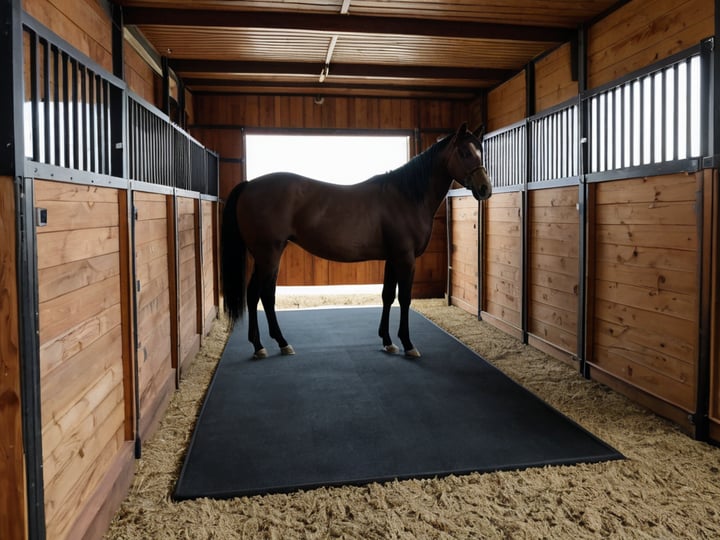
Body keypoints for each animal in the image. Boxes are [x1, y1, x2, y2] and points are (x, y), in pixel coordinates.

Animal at [221, 122, 492, 359]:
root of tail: (249, 185)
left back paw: (265, 344)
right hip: (269, 253)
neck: (407, 196)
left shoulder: (392, 258)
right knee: (262, 295)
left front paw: (388, 341)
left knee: (257, 295)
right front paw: (408, 344)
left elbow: (387, 295)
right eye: (464, 152)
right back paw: (272, 345)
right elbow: (404, 298)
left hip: (265, 255)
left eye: (481, 151)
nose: (485, 189)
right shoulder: (405, 258)